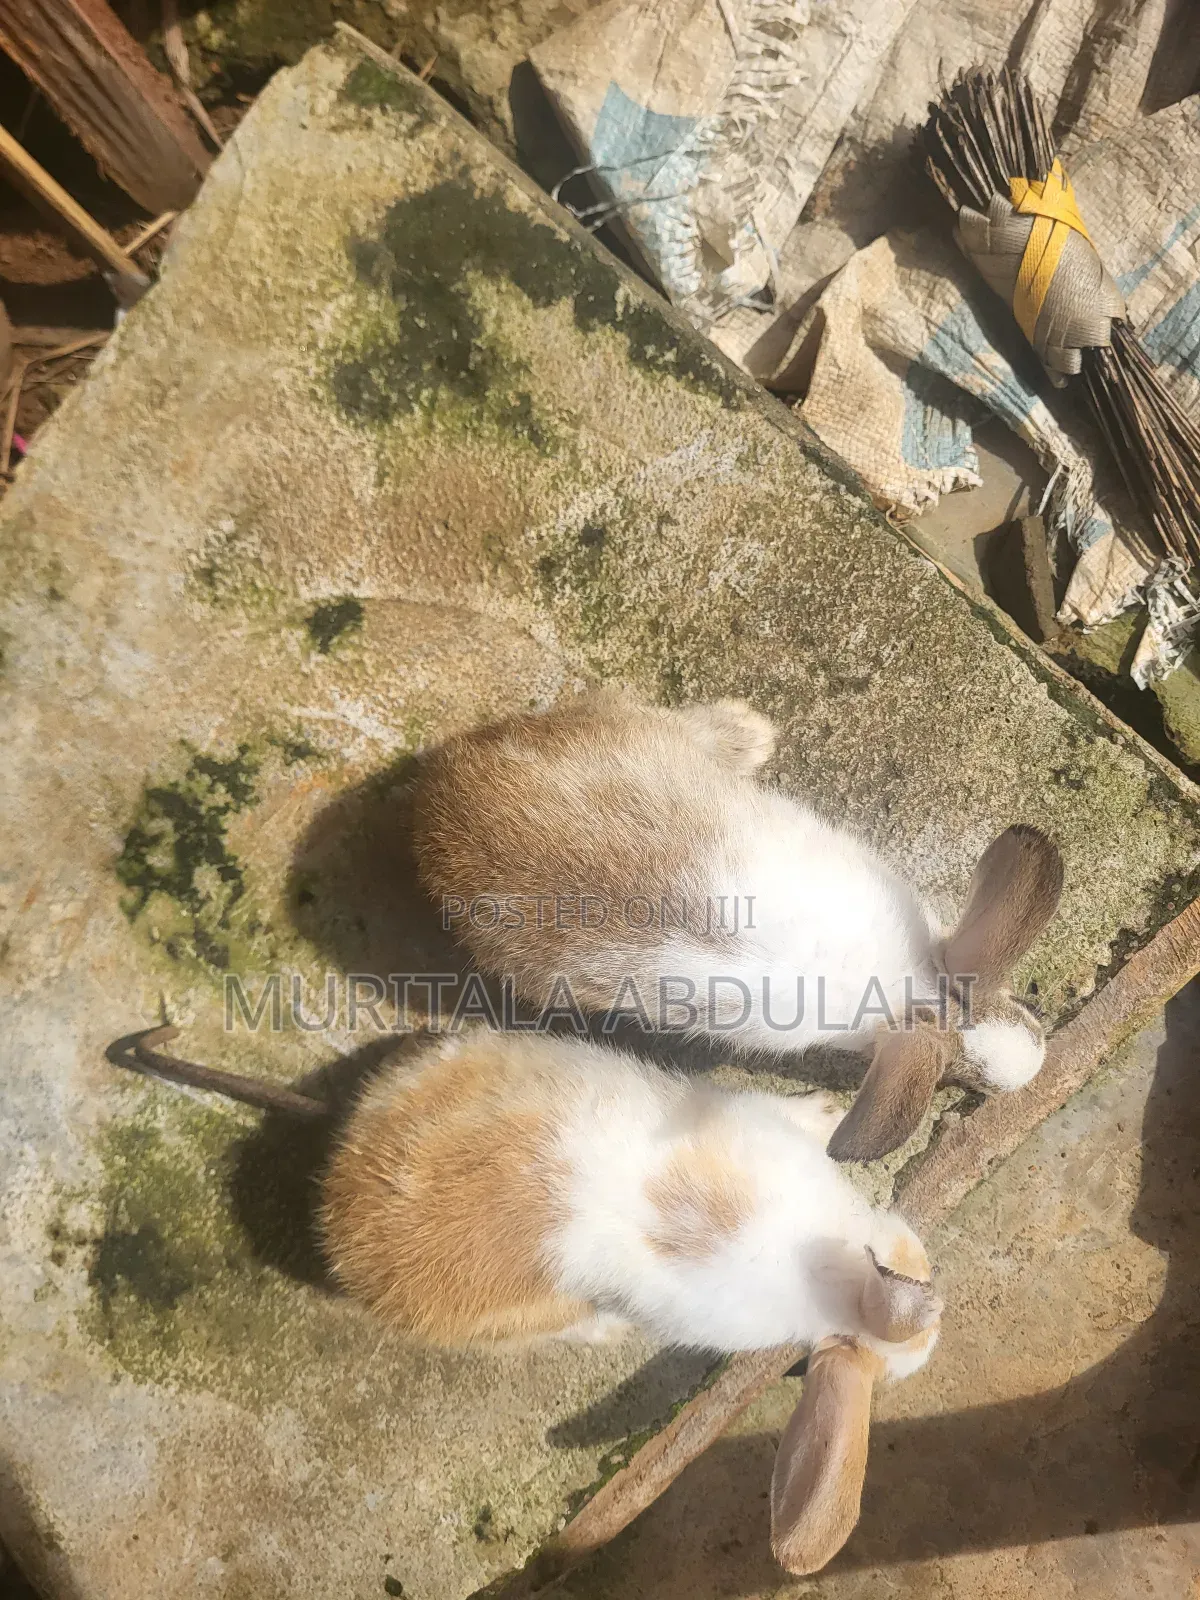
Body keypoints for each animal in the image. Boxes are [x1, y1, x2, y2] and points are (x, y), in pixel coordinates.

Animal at [412, 687, 1065, 1162]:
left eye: (1026, 1007)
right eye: (961, 1086)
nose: (1037, 1059)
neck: (913, 989)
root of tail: (443, 792)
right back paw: (753, 731)